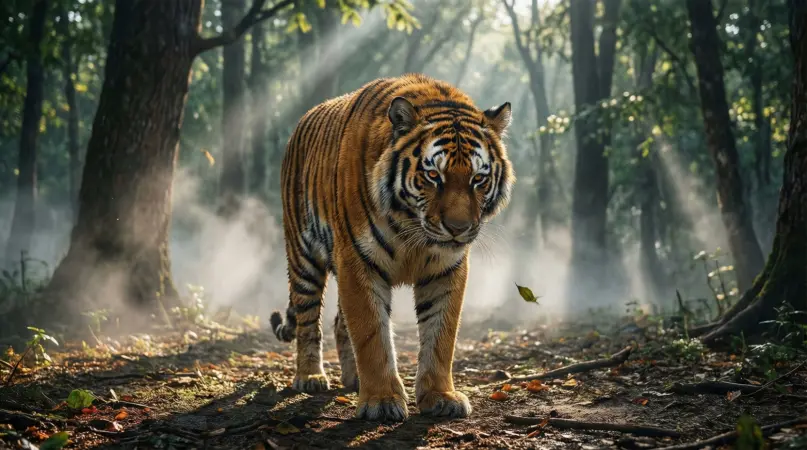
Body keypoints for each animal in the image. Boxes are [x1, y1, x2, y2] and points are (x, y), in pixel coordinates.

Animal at [270, 73, 514, 422]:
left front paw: (441, 397)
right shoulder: (358, 261)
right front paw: (381, 401)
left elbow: (441, 335)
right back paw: (310, 376)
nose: (458, 228)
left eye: (478, 179)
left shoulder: (446, 268)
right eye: (433, 175)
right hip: (304, 257)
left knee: (339, 323)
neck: (413, 230)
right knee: (307, 319)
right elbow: (372, 335)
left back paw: (353, 378)